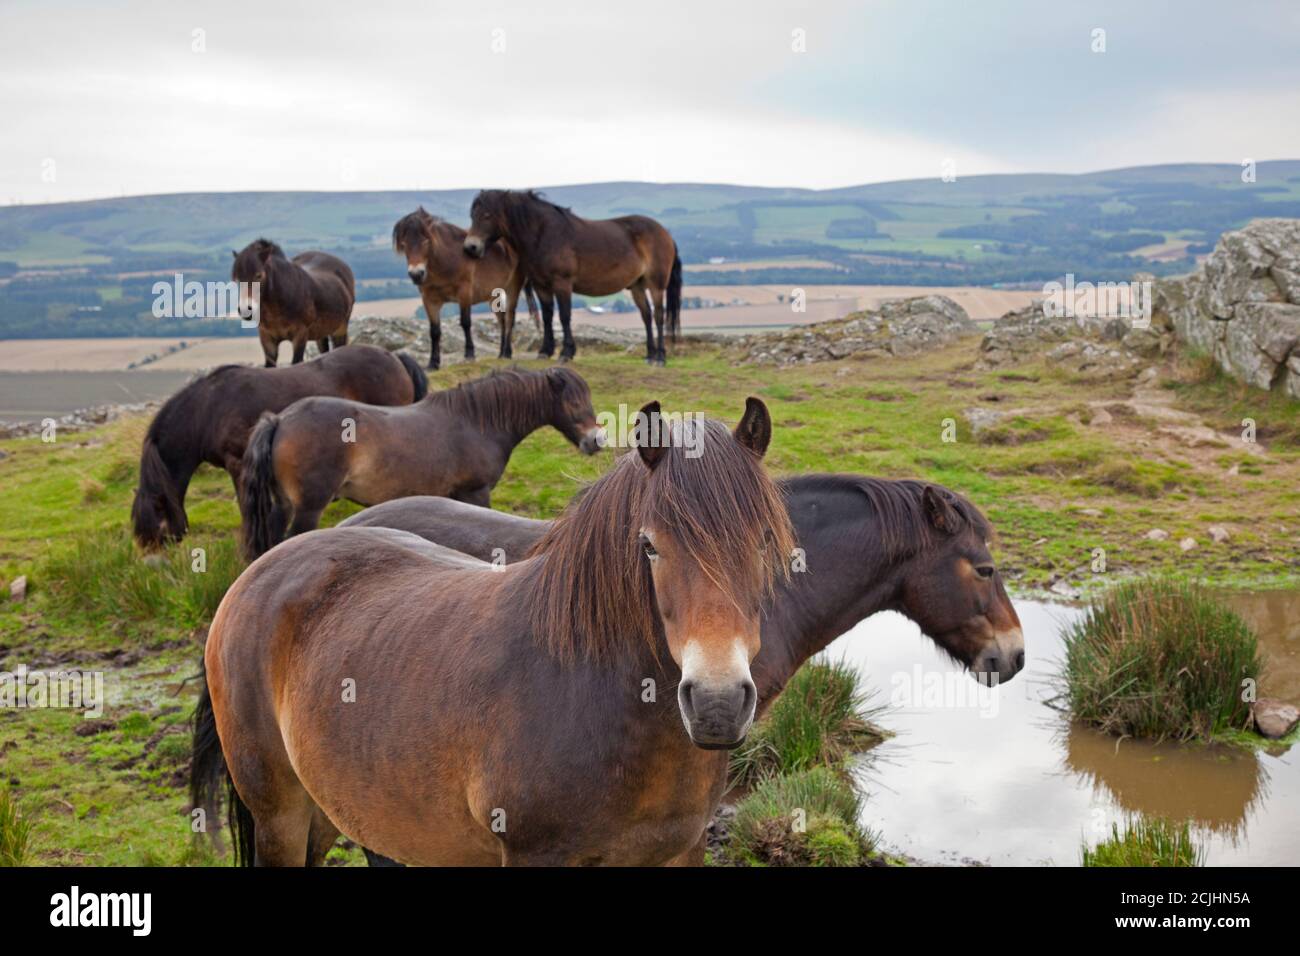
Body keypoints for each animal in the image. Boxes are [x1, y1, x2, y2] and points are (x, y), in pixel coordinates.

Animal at [126, 343, 423, 554]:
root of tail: (395, 357)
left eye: (158, 521)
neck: (207, 409)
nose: (154, 561)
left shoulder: (238, 465)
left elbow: (248, 508)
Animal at [191, 400, 795, 863]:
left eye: (765, 540)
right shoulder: (535, 854)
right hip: (280, 816)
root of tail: (262, 569)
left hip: (331, 810)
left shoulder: (682, 851)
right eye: (648, 545)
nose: (716, 703)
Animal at [240, 366, 603, 561]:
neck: (474, 421)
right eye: (573, 403)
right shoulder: (475, 492)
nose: (596, 441)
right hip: (309, 506)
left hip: (283, 504)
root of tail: (280, 420)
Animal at [390, 208, 543, 369]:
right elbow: (434, 331)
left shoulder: (464, 293)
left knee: (509, 318)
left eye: (426, 241)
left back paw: (507, 352)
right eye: (404, 244)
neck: (445, 261)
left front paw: (469, 354)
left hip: (512, 287)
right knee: (501, 320)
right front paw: (433, 362)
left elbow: (465, 323)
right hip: (493, 294)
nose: (416, 274)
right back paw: (501, 353)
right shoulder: (429, 300)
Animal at [465, 189, 686, 366]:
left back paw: (660, 357)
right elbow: (547, 317)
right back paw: (650, 355)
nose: (471, 247)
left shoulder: (562, 283)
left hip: (656, 285)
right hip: (637, 286)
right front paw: (545, 351)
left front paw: (566, 353)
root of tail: (665, 233)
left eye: (487, 215)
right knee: (646, 316)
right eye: (472, 215)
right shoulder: (541, 286)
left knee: (658, 316)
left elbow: (564, 316)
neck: (544, 234)